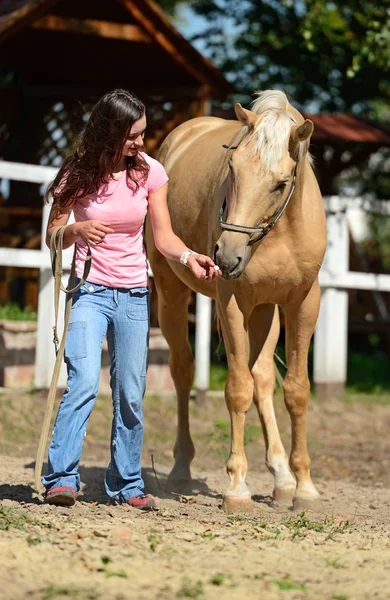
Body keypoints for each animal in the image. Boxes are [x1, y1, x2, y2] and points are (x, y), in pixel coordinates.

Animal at [145, 89, 328, 510]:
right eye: (232, 169)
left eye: (280, 183)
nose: (227, 256)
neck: (279, 232)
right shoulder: (231, 302)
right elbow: (237, 388)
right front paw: (237, 486)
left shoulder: (302, 304)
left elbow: (296, 390)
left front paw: (303, 486)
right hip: (172, 294)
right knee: (183, 371)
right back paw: (181, 469)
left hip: (265, 312)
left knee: (263, 377)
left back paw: (281, 477)